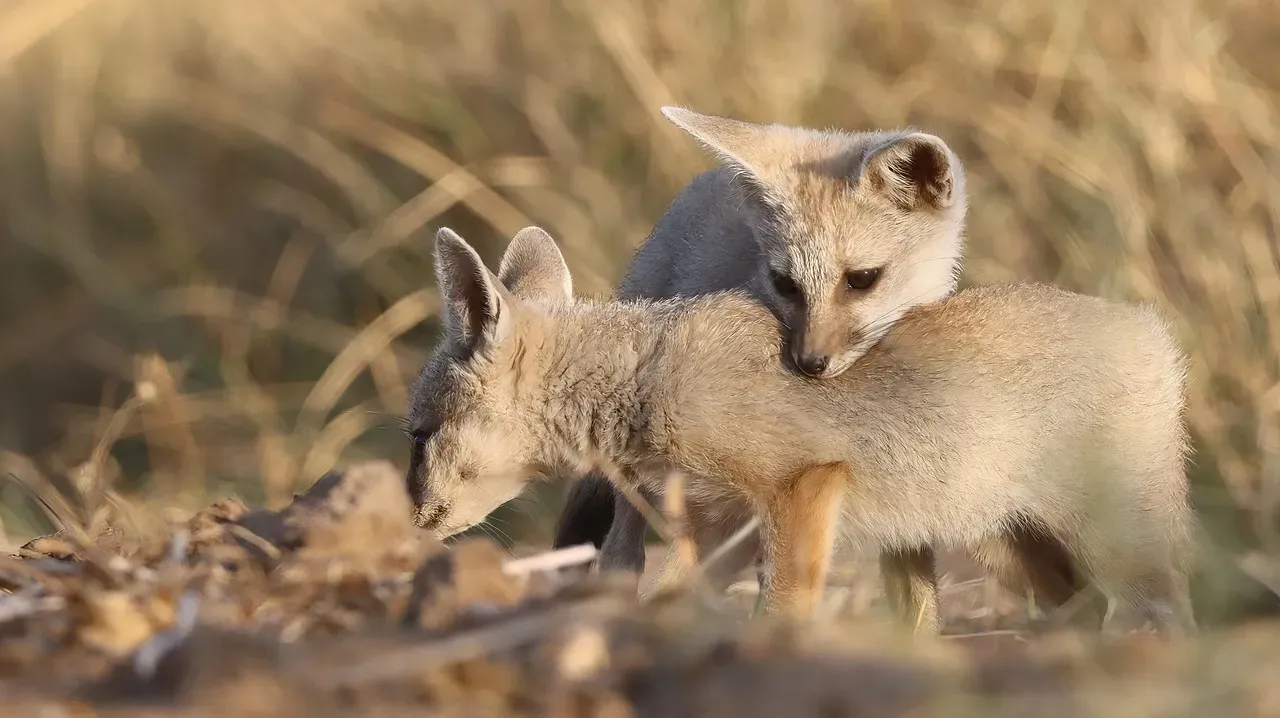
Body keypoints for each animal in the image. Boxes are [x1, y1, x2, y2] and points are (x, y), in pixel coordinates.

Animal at [404, 224, 1198, 636]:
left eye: (417, 431)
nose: (411, 515)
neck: (649, 370)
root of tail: (1151, 328)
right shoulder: (716, 530)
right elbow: (665, 605)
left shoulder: (797, 488)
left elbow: (781, 612)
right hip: (1014, 552)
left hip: (1109, 552)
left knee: (1166, 619)